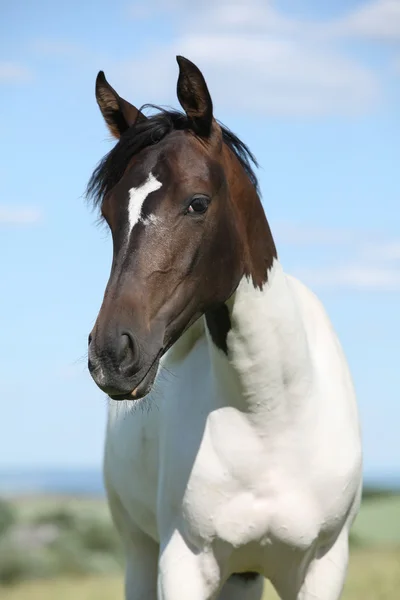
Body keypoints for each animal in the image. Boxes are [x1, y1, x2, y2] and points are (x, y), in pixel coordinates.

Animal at [86, 55, 362, 600]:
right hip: (141, 553)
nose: (111, 354)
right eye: (109, 216)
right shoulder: (182, 564)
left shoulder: (324, 565)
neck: (271, 418)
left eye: (197, 202)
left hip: (243, 574)